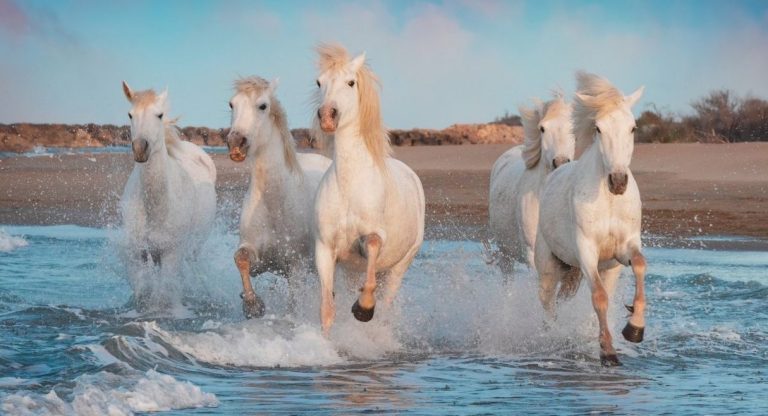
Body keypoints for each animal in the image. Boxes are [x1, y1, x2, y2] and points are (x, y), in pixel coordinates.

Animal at [119, 82, 217, 311]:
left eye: (159, 114)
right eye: (130, 114)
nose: (140, 148)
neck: (157, 206)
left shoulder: (172, 254)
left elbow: (163, 295)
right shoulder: (138, 253)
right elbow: (143, 292)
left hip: (192, 250)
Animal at [226, 76, 332, 319]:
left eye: (263, 106)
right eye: (231, 104)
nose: (236, 143)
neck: (275, 202)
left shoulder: (296, 267)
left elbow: (293, 304)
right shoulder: (260, 260)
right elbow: (241, 259)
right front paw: (252, 305)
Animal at [311, 44, 425, 334]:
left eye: (351, 82)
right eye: (319, 82)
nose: (327, 116)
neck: (349, 185)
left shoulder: (374, 238)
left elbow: (372, 247)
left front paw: (363, 309)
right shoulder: (325, 249)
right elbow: (326, 308)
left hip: (400, 266)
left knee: (387, 301)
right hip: (351, 270)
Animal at [534, 72, 646, 366]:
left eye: (633, 128)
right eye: (598, 128)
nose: (618, 182)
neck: (609, 202)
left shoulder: (625, 247)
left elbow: (640, 265)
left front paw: (634, 329)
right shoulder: (586, 250)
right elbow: (599, 297)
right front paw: (608, 352)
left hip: (589, 271)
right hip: (549, 267)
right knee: (547, 302)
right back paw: (551, 337)